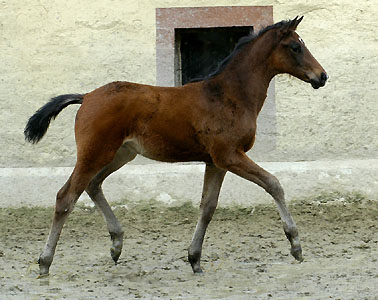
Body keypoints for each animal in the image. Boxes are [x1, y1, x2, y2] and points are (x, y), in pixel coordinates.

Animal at [23, 17, 326, 276]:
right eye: (296, 46)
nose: (322, 76)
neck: (228, 95)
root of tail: (86, 97)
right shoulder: (229, 155)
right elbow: (274, 184)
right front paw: (296, 245)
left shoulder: (215, 161)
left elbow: (208, 206)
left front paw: (194, 259)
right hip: (95, 153)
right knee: (66, 197)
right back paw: (45, 262)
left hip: (120, 154)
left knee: (93, 185)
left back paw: (116, 244)